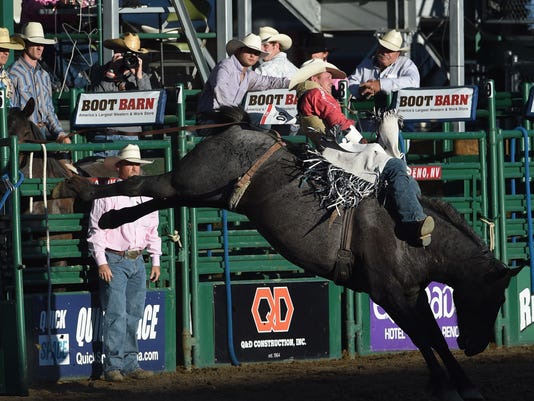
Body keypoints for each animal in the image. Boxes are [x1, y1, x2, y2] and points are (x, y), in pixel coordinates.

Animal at [57, 106, 524, 400]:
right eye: (492, 296)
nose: (476, 346)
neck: (411, 236)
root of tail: (242, 126)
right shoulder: (390, 294)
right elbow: (425, 337)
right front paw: (450, 384)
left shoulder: (411, 294)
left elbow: (433, 337)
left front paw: (459, 383)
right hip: (193, 180)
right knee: (144, 184)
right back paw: (80, 187)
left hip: (206, 192)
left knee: (155, 197)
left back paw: (110, 219)